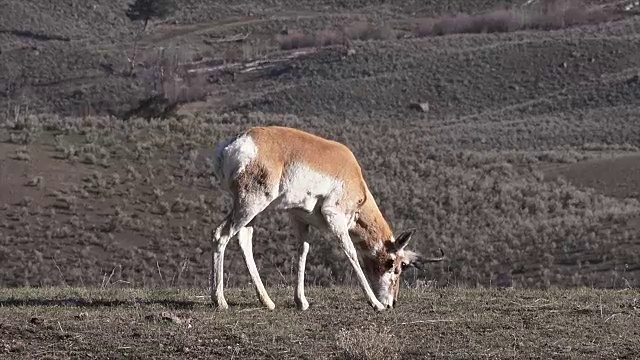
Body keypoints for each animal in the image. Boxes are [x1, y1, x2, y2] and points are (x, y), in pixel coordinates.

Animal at [210, 125, 444, 310]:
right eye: (393, 266)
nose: (391, 303)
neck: (352, 173)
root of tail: (235, 143)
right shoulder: (335, 218)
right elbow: (351, 253)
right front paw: (375, 304)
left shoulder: (300, 218)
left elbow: (303, 251)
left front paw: (302, 302)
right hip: (251, 204)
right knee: (220, 234)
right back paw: (220, 301)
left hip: (253, 210)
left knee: (244, 239)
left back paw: (267, 301)